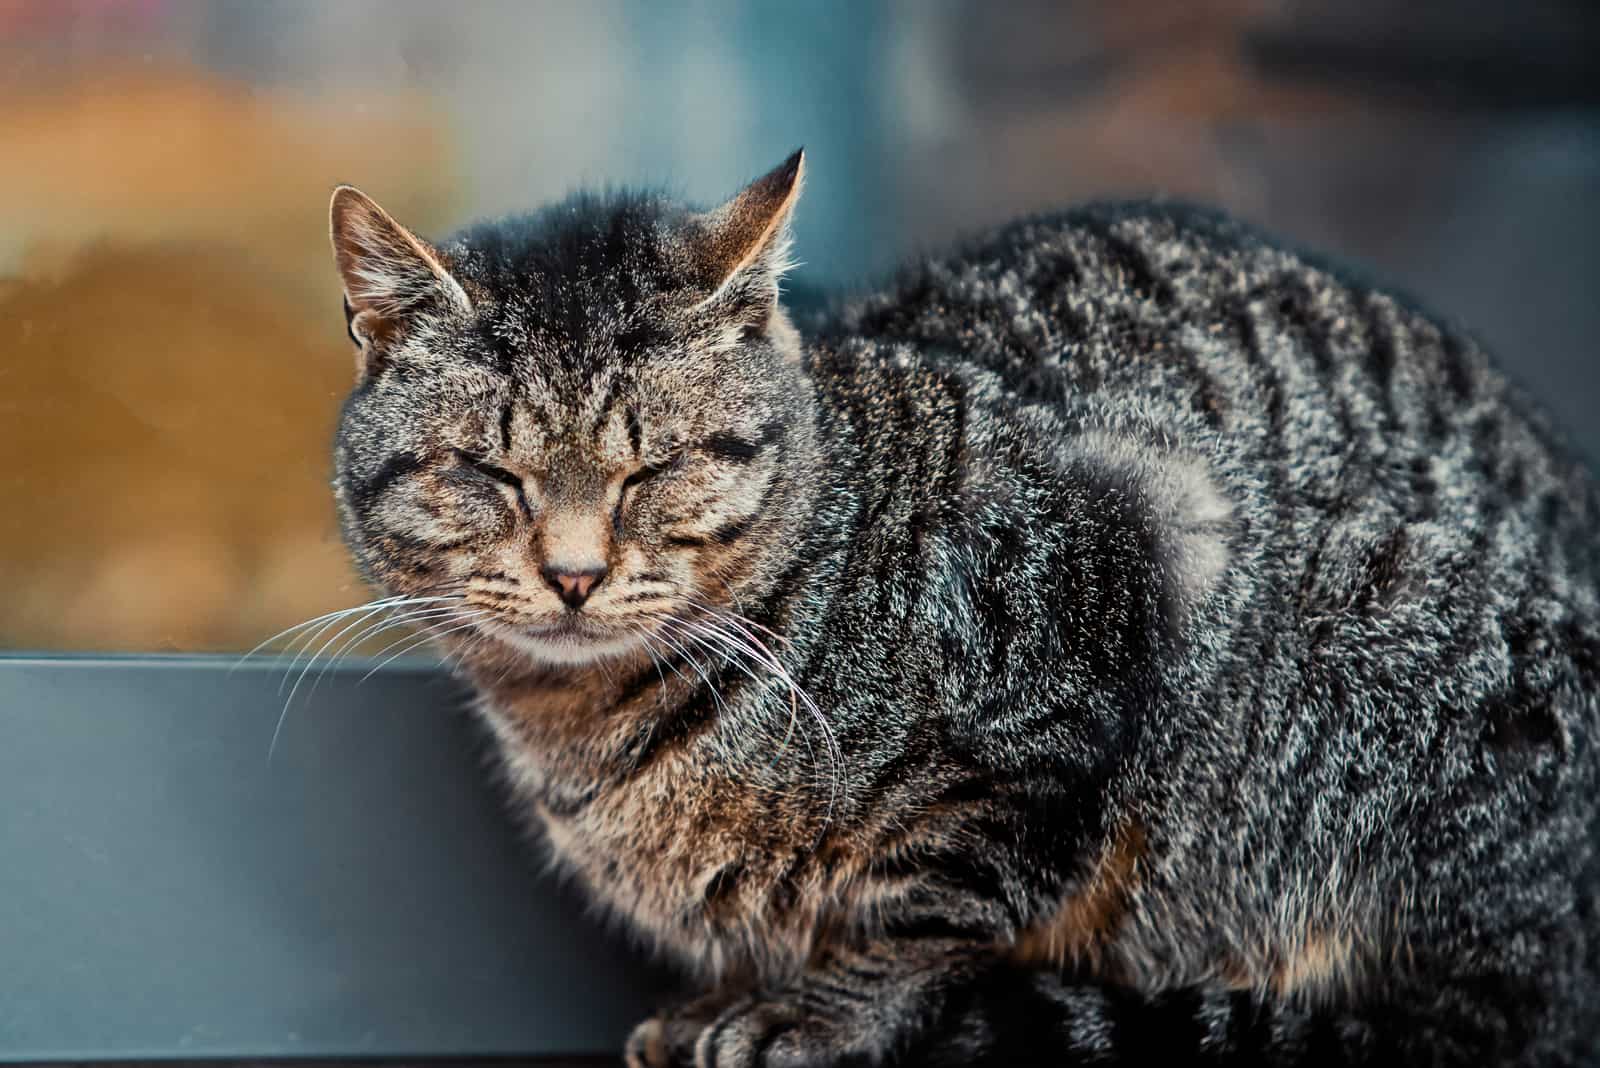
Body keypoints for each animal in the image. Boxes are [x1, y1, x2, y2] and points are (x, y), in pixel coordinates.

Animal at [321, 151, 1600, 1068]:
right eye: (491, 475)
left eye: (654, 470)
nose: (576, 574)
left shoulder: (1125, 550)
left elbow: (940, 900)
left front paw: (822, 1012)